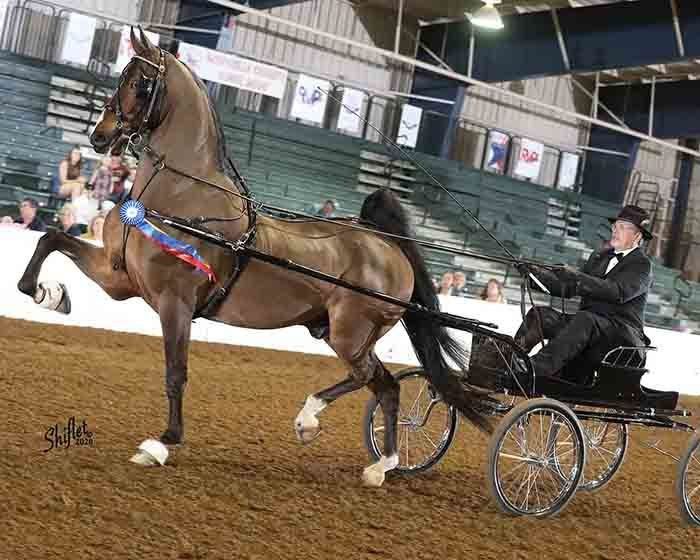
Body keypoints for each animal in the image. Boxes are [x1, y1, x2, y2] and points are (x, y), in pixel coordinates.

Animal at [17, 28, 491, 486]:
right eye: (122, 75)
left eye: (140, 82)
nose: (99, 135)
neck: (180, 195)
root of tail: (385, 245)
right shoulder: (121, 279)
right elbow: (51, 239)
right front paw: (49, 294)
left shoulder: (175, 301)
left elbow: (176, 371)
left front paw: (162, 443)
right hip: (343, 333)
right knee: (384, 387)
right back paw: (374, 462)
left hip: (350, 333)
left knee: (374, 380)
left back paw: (326, 429)